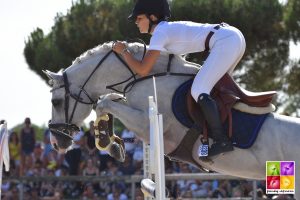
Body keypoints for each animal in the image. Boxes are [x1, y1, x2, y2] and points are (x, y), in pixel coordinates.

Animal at [44, 42, 300, 198]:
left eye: (55, 102)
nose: (56, 142)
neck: (143, 76)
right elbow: (107, 100)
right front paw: (112, 143)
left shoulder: (149, 123)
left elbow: (103, 102)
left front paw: (110, 143)